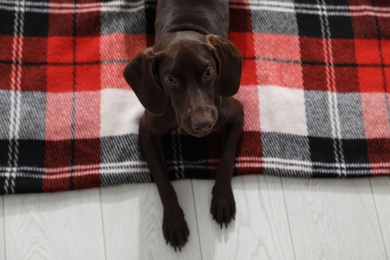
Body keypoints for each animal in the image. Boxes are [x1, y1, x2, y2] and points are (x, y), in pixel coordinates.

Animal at [123, 0, 242, 251]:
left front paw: (222, 200)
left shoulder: (236, 114)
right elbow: (162, 180)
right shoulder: (146, 131)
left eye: (208, 72)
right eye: (170, 79)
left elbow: (226, 158)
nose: (203, 124)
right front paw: (174, 221)